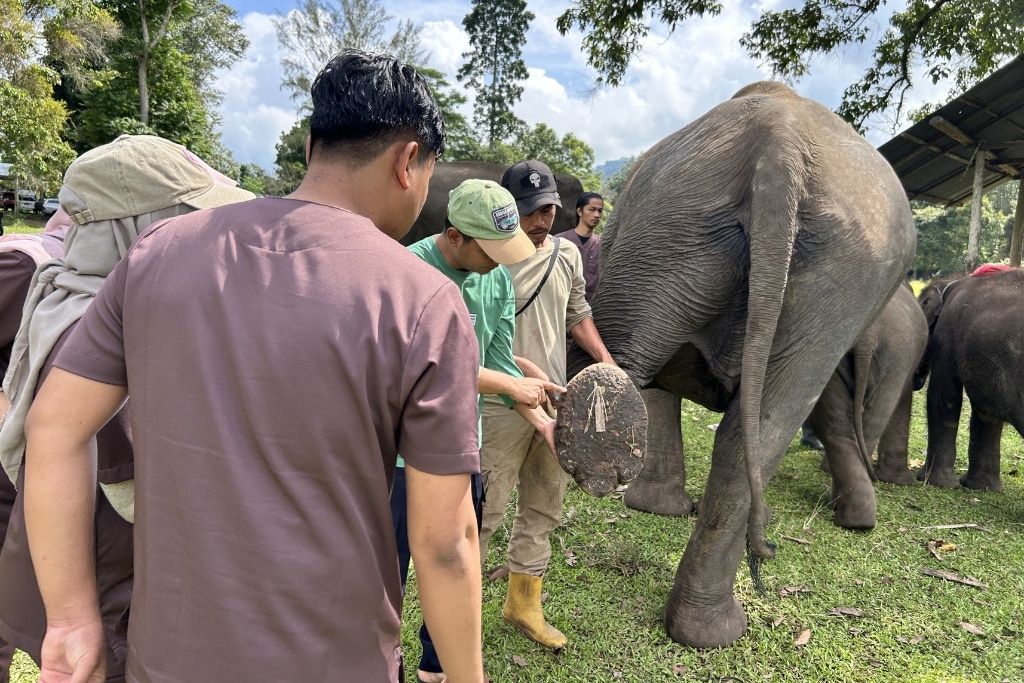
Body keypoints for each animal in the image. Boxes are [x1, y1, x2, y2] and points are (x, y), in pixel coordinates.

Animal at [914, 268, 1024, 491]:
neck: (954, 281)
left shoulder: (947, 331)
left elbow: (944, 397)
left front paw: (932, 482)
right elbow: (985, 415)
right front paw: (981, 488)